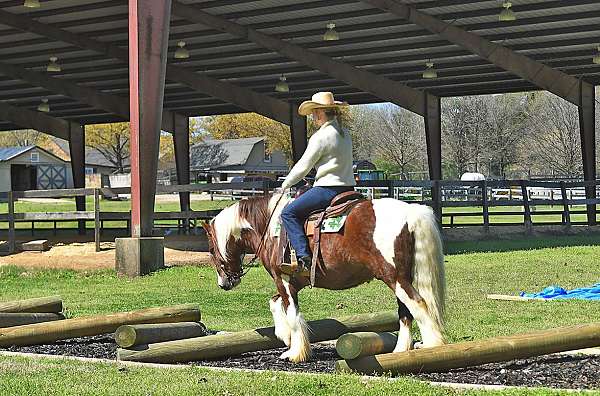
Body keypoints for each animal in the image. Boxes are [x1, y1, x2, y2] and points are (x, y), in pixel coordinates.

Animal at [203, 193, 446, 364]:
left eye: (211, 250)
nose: (224, 283)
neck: (269, 228)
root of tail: (410, 212)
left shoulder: (283, 279)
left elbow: (292, 313)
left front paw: (294, 352)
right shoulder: (294, 282)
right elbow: (274, 303)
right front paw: (285, 337)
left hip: (394, 278)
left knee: (418, 304)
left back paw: (432, 347)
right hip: (400, 278)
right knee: (405, 312)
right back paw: (400, 351)